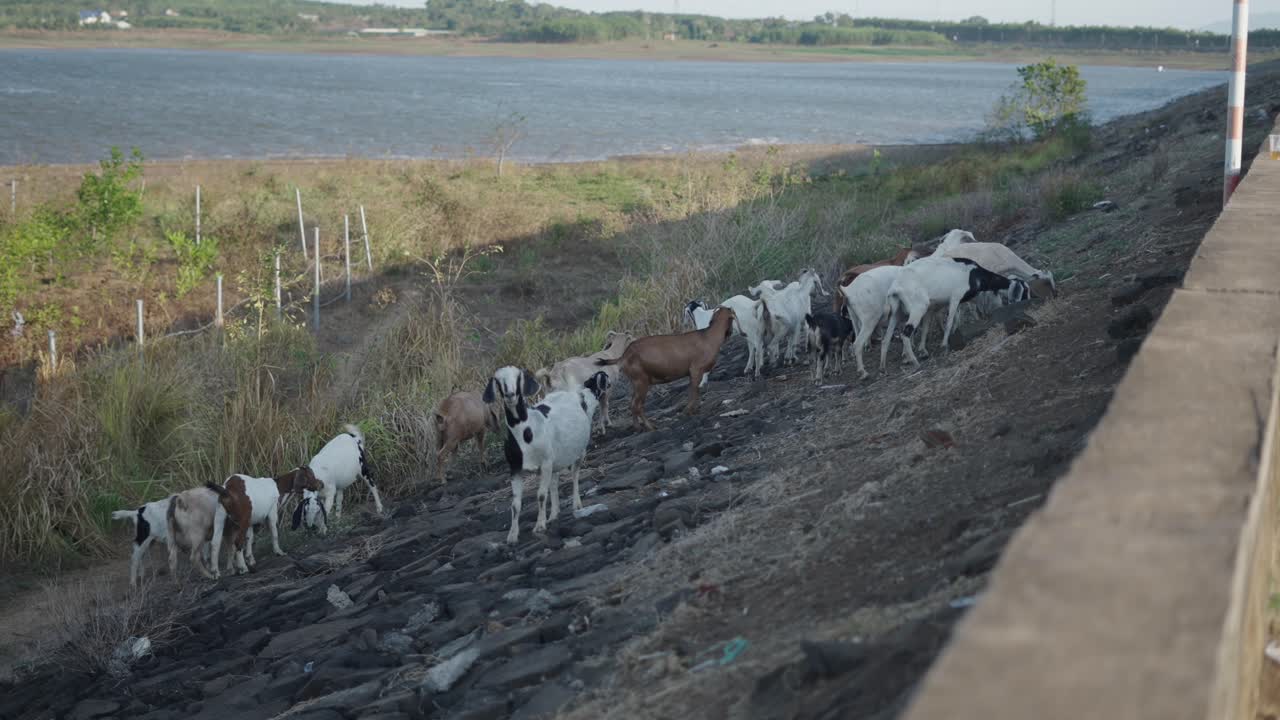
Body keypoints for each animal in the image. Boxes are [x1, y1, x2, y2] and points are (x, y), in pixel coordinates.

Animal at [490, 366, 607, 544]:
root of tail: (574, 394)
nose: (510, 395)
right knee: (554, 481)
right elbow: (515, 504)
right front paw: (512, 535)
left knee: (575, 475)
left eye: (518, 378)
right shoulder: (515, 468)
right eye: (497, 381)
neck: (525, 431)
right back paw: (553, 514)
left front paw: (539, 526)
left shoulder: (545, 463)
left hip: (579, 452)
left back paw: (576, 504)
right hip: (555, 459)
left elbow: (541, 495)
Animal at [598, 306, 736, 432]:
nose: (730, 333)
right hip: (641, 381)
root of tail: (624, 356)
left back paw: (638, 426)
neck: (709, 337)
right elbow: (694, 391)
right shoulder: (696, 370)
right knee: (637, 405)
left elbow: (695, 391)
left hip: (636, 383)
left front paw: (692, 411)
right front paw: (687, 411)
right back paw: (649, 426)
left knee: (632, 404)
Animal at [880, 256, 1030, 370]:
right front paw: (944, 345)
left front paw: (926, 349)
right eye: (1025, 291)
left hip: (897, 313)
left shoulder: (945, 305)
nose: (1028, 301)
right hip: (918, 308)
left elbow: (944, 322)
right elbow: (949, 321)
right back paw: (915, 363)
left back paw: (883, 367)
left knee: (886, 339)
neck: (974, 274)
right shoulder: (955, 298)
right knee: (905, 333)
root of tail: (895, 288)